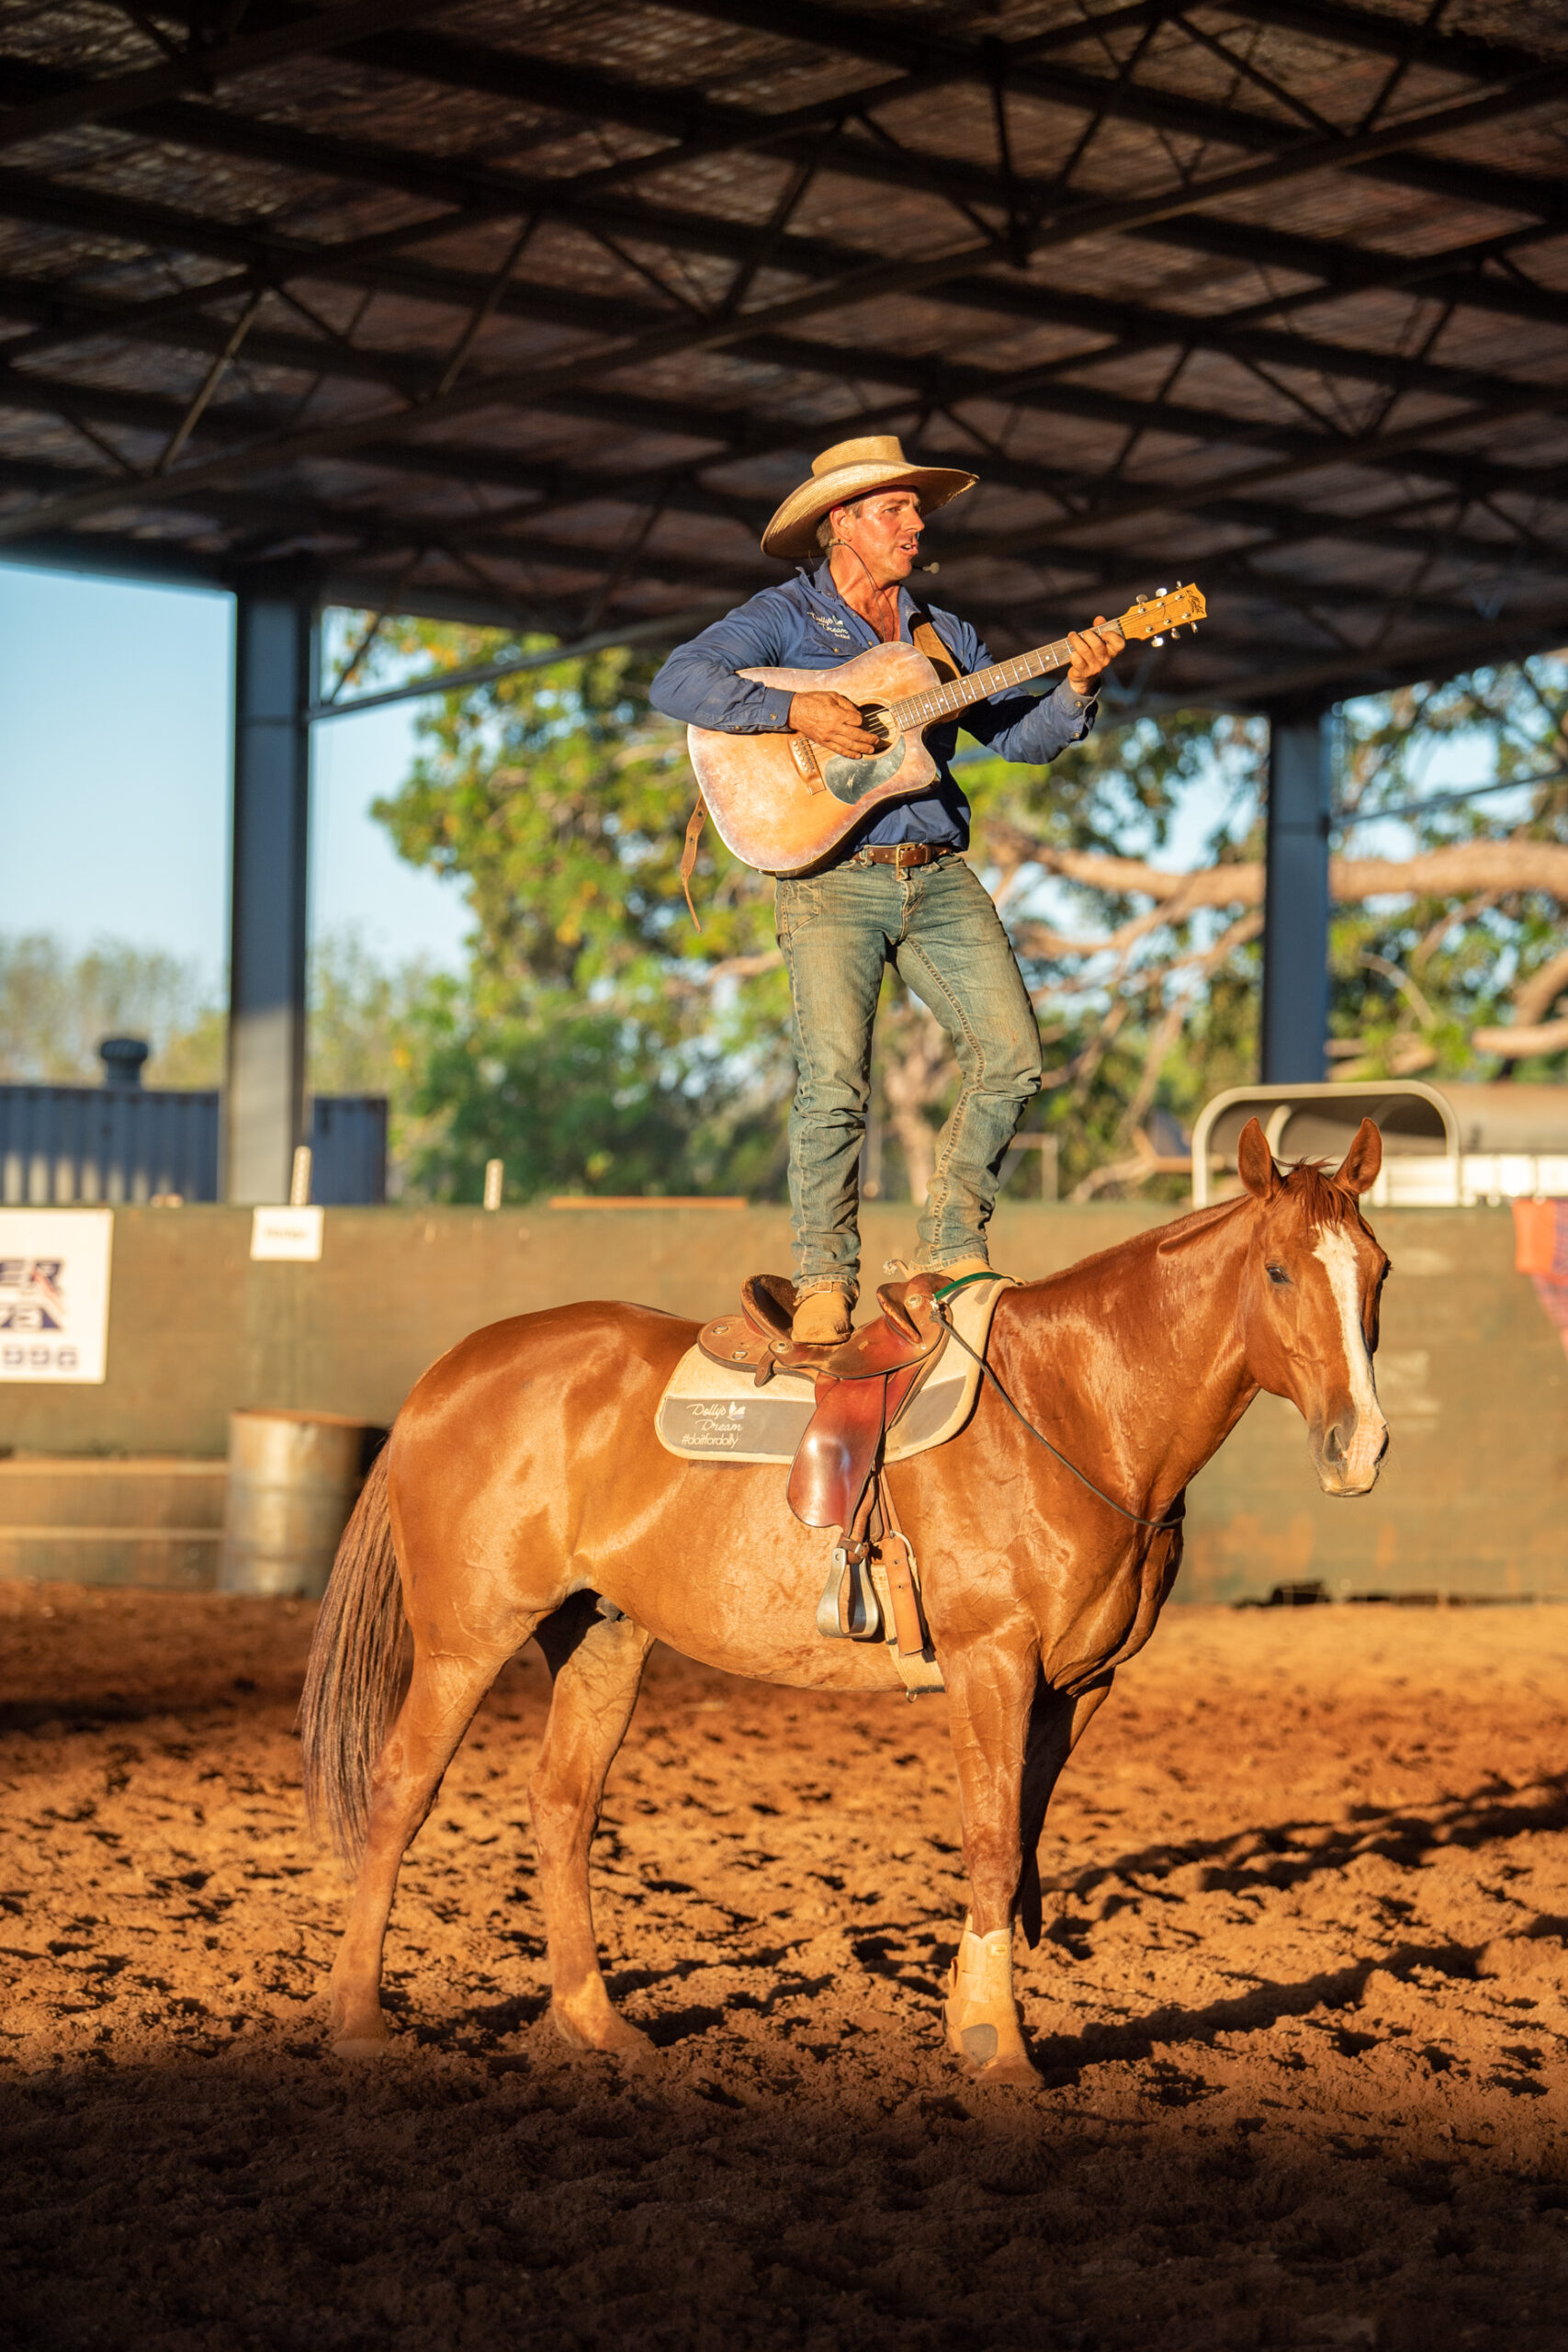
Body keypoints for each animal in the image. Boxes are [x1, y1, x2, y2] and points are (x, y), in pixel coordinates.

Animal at [300, 1110, 1392, 2088]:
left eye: (1376, 1272)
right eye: (1280, 1271)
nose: (1361, 1445)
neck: (1070, 1405)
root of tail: (446, 1376)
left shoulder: (1078, 1686)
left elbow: (1020, 1841)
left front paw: (971, 2019)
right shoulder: (991, 1663)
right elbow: (992, 1845)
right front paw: (998, 2046)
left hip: (603, 1639)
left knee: (563, 1807)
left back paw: (592, 2022)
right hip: (465, 1641)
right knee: (399, 1791)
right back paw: (357, 2019)